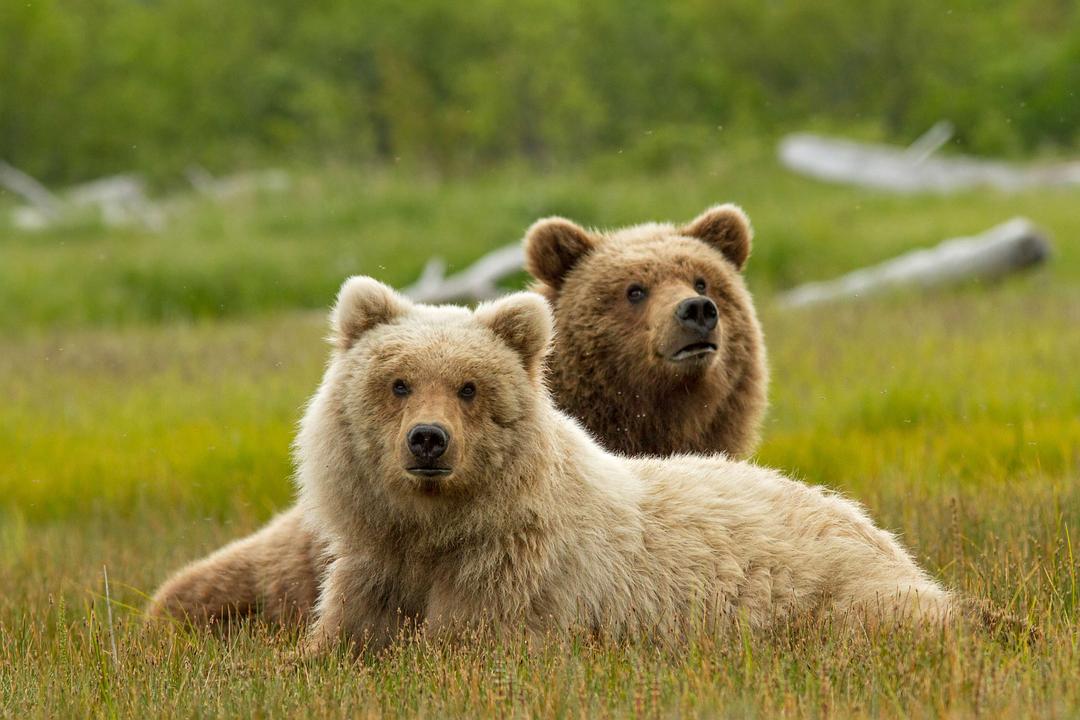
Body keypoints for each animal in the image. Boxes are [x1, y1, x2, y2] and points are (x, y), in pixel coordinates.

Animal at [298, 277, 949, 656]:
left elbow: (466, 645)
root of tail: (883, 535)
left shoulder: (511, 581)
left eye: (468, 387)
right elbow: (338, 641)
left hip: (840, 594)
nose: (428, 441)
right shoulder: (375, 569)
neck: (434, 531)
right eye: (399, 383)